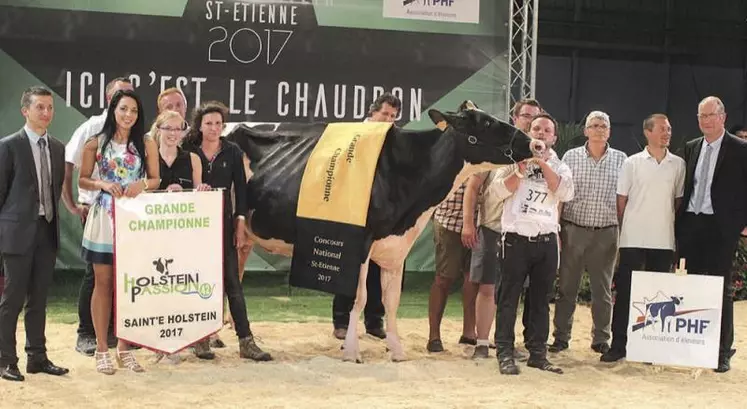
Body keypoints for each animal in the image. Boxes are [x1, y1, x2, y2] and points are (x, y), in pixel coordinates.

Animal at [225, 101, 540, 360]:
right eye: (485, 123)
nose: (534, 143)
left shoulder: (397, 244)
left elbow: (391, 299)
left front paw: (396, 350)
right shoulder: (359, 241)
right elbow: (361, 296)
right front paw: (352, 352)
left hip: (245, 236)